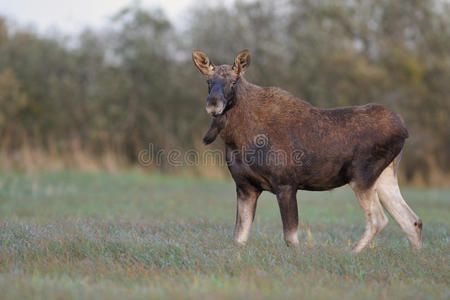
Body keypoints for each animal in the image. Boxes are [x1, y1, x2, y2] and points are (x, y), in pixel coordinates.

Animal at [192, 49, 422, 253]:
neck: (236, 139)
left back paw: (352, 252)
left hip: (361, 176)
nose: (213, 104)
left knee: (379, 219)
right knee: (412, 220)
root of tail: (404, 130)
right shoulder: (245, 187)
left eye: (234, 81)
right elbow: (238, 238)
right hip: (384, 177)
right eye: (208, 82)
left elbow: (290, 238)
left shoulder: (286, 184)